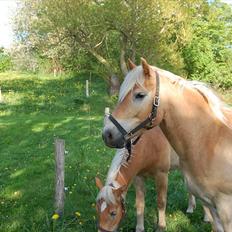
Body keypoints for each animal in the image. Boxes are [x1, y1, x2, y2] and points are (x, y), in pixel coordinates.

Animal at [102, 59, 232, 231]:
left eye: (140, 95)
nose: (107, 134)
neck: (212, 140)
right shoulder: (139, 177)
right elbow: (140, 204)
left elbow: (161, 202)